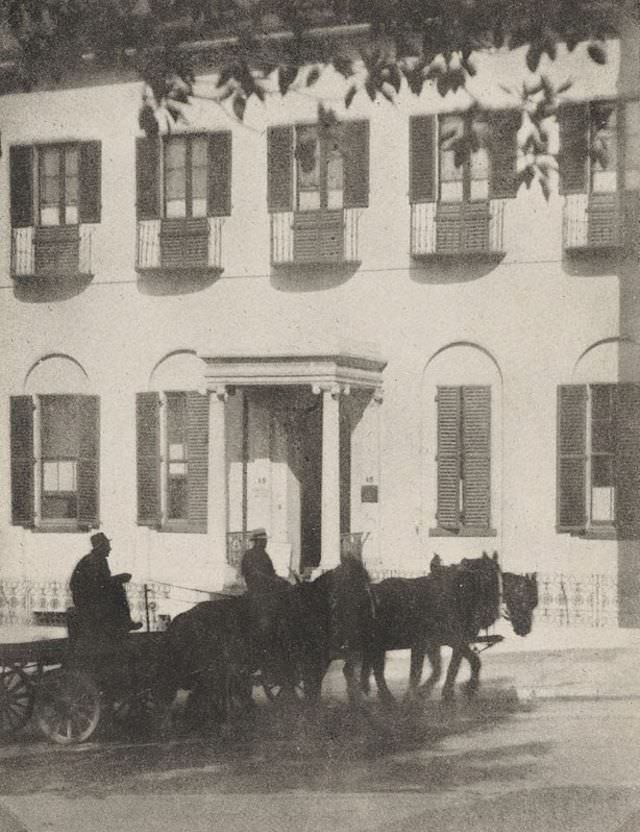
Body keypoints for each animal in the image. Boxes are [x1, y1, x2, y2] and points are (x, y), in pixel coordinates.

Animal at [362, 556, 536, 704]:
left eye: (534, 602)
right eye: (522, 599)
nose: (525, 628)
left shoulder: (446, 642)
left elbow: (463, 663)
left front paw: (463, 688)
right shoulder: (448, 641)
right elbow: (448, 667)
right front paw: (441, 692)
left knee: (375, 668)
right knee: (376, 669)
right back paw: (384, 696)